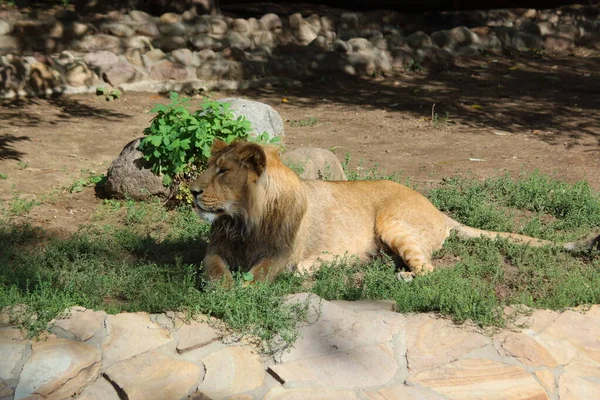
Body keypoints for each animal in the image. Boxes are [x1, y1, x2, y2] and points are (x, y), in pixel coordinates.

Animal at [191, 139, 600, 282]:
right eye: (209, 167)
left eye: (223, 172)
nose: (192, 191)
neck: (242, 220)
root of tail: (439, 211)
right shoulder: (215, 251)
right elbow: (215, 270)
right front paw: (224, 287)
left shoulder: (281, 255)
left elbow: (259, 274)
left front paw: (242, 289)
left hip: (393, 221)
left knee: (430, 270)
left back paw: (401, 278)